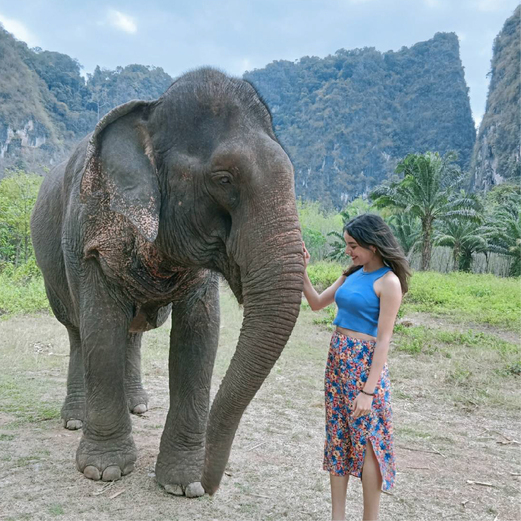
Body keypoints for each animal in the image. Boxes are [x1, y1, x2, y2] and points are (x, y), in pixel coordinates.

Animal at [30, 69, 302, 496]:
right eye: (224, 178)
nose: (210, 482)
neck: (150, 112)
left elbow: (200, 336)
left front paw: (184, 484)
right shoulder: (89, 237)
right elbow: (100, 328)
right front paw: (104, 471)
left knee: (132, 332)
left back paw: (138, 406)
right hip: (51, 269)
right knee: (77, 330)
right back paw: (75, 419)